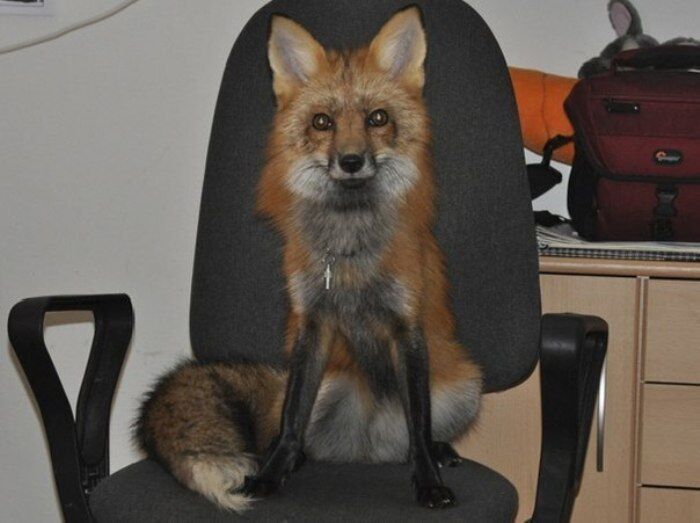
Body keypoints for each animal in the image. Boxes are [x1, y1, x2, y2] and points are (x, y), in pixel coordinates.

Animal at [135, 6, 482, 513]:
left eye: (377, 118)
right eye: (322, 122)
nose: (352, 161)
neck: (349, 250)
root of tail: (370, 447)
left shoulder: (407, 326)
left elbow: (419, 422)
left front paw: (428, 481)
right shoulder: (311, 323)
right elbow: (291, 419)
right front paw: (271, 475)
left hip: (465, 386)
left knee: (416, 430)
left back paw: (437, 451)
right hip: (326, 386)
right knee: (285, 425)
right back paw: (290, 459)